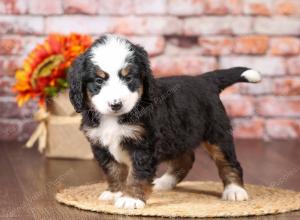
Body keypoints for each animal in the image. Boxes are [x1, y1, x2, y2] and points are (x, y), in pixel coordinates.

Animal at [68, 34, 260, 210]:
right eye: (99, 80)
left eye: (128, 78)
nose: (116, 104)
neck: (114, 118)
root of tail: (204, 80)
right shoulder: (99, 144)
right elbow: (113, 170)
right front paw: (115, 192)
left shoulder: (143, 145)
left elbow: (137, 173)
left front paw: (131, 198)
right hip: (178, 135)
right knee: (185, 159)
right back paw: (164, 182)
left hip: (216, 132)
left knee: (228, 161)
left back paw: (235, 190)